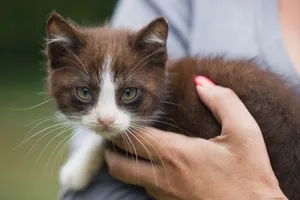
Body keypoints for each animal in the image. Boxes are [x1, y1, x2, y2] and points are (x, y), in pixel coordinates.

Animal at [45, 12, 300, 198]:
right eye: (84, 92)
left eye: (129, 93)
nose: (105, 119)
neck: (166, 93)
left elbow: (114, 140)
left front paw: (77, 170)